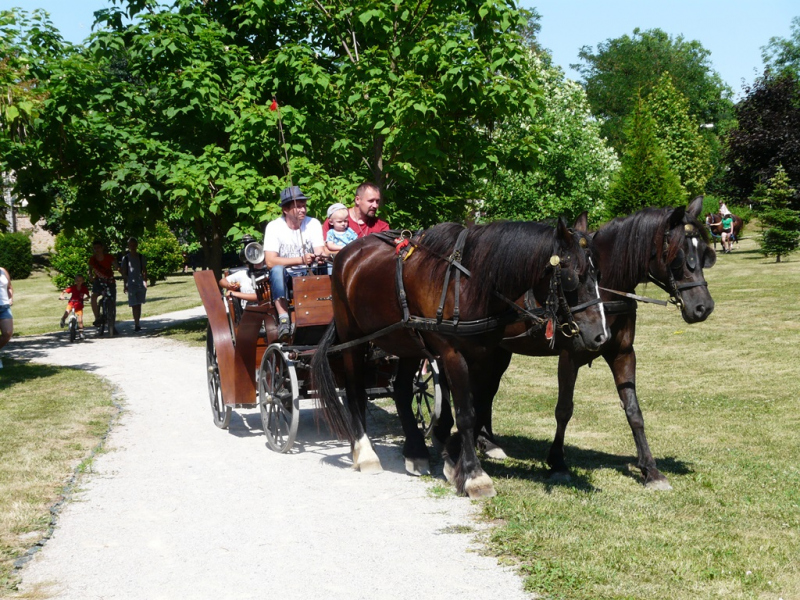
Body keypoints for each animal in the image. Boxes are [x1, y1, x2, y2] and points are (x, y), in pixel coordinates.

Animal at [312, 218, 608, 500]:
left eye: (597, 275)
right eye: (572, 277)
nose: (600, 335)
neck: (469, 284)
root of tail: (348, 254)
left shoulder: (486, 355)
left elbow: (480, 405)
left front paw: (453, 458)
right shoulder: (453, 355)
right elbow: (466, 414)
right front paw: (474, 476)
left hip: (407, 341)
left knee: (402, 390)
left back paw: (415, 451)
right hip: (352, 339)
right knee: (355, 392)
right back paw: (365, 453)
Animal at [432, 199, 720, 490]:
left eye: (704, 254)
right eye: (678, 256)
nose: (703, 307)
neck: (603, 293)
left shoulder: (623, 354)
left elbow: (633, 410)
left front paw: (650, 469)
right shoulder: (569, 357)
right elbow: (564, 409)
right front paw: (558, 462)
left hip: (497, 352)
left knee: (486, 392)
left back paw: (487, 442)